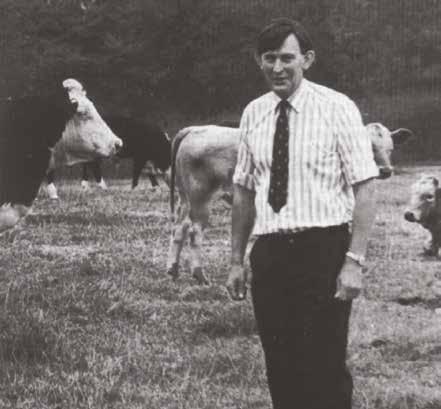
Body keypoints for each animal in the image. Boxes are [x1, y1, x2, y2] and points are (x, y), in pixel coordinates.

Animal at [167, 123, 412, 285]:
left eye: (390, 148)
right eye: (369, 147)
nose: (386, 170)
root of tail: (195, 129)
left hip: (184, 196)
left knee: (179, 228)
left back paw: (173, 269)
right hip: (201, 196)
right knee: (195, 232)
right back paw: (199, 275)